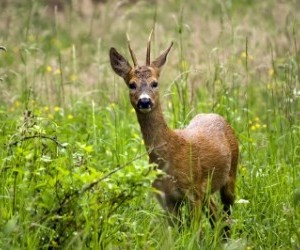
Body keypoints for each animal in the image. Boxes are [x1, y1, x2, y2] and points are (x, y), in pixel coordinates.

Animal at [109, 34, 238, 237]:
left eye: (155, 83)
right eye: (131, 84)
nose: (144, 101)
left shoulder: (192, 192)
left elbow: (194, 234)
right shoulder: (165, 198)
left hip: (231, 173)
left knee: (227, 214)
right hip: (206, 191)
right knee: (216, 214)